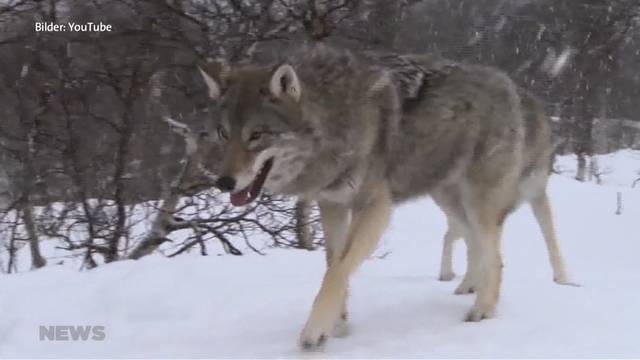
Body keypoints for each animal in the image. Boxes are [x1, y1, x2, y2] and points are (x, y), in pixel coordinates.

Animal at [198, 43, 572, 350]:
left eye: (257, 135)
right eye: (224, 133)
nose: (223, 182)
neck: (335, 118)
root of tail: (512, 85)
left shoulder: (374, 206)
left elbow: (337, 271)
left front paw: (314, 331)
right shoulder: (332, 204)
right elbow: (333, 263)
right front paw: (338, 323)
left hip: (478, 203)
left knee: (496, 256)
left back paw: (482, 311)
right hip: (450, 202)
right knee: (478, 247)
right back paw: (470, 290)